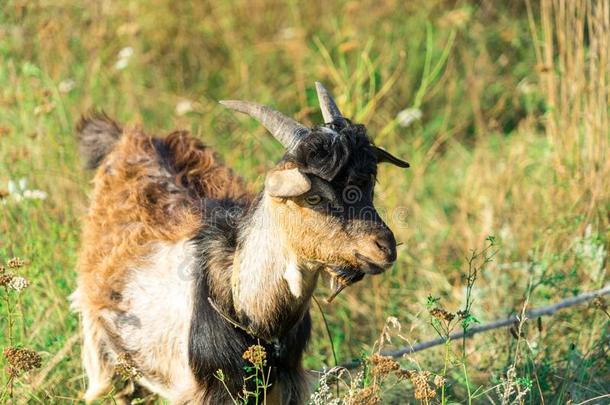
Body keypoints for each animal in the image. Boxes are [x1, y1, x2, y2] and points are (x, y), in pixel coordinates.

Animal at [71, 83, 408, 404]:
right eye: (313, 197)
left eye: (369, 184)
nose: (384, 247)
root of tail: (126, 138)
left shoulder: (284, 386)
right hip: (103, 349)